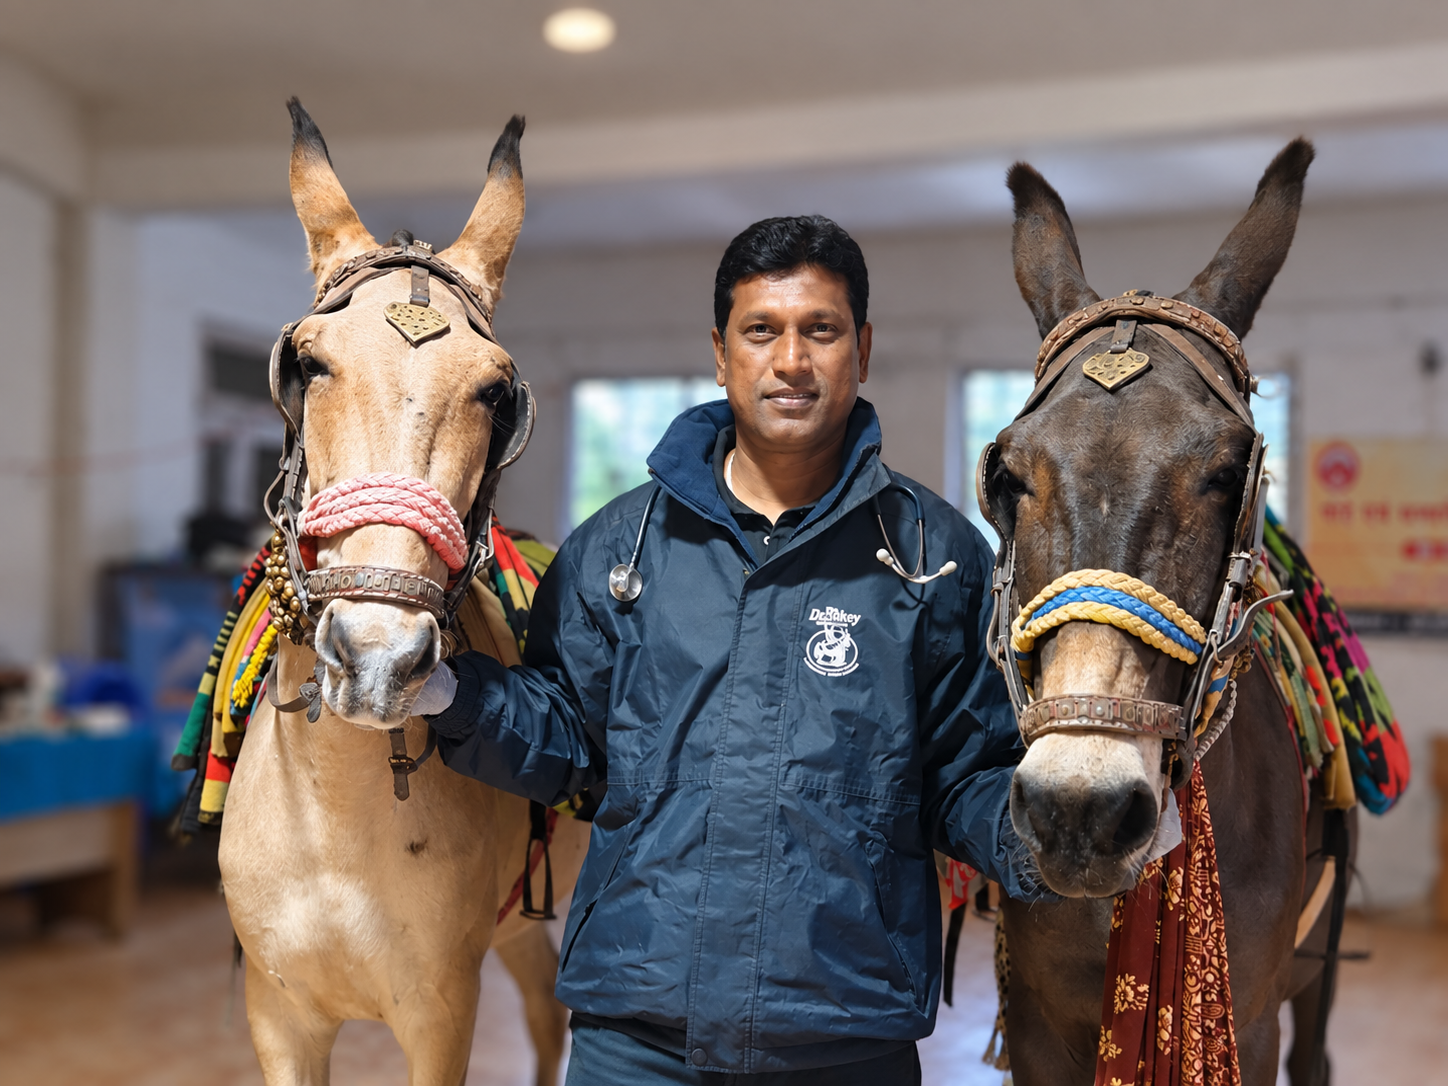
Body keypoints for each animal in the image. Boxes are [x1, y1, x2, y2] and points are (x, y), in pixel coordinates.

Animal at [218, 101, 589, 1086]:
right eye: (306, 366)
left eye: (497, 393)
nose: (379, 661)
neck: (337, 815)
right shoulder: (278, 1016)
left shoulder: (440, 1012)